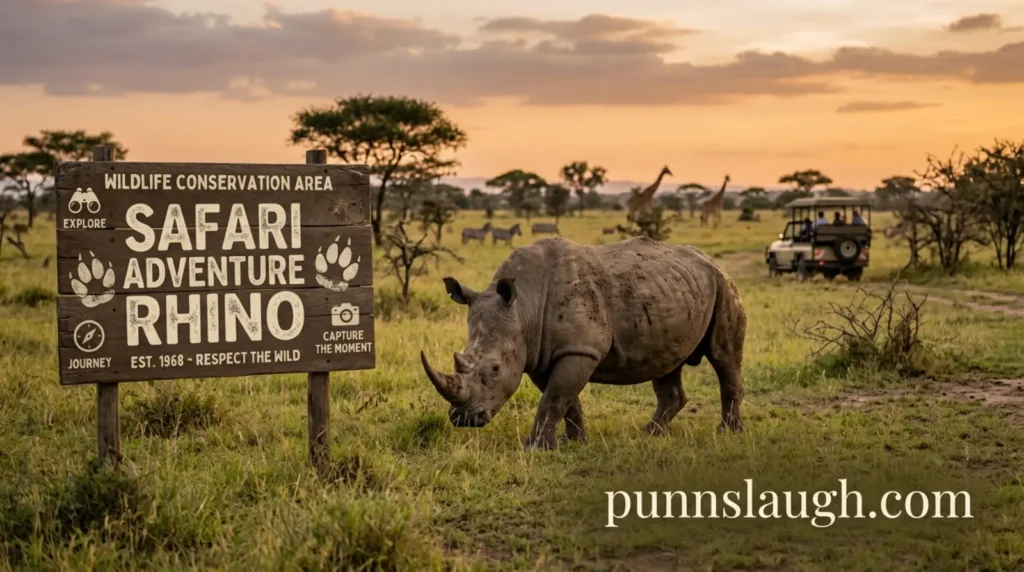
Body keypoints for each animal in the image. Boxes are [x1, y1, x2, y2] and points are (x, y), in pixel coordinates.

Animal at [420, 236, 746, 450]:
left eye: (495, 369)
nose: (464, 419)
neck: (523, 306)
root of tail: (709, 259)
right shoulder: (541, 354)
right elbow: (563, 398)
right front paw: (573, 442)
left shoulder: (579, 349)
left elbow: (554, 397)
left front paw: (535, 449)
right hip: (675, 292)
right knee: (667, 363)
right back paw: (650, 434)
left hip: (723, 285)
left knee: (723, 358)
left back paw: (727, 433)